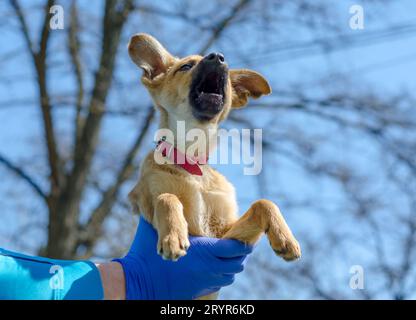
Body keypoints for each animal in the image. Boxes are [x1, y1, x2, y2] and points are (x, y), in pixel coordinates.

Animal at [127, 33, 300, 298]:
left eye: (226, 75)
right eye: (185, 66)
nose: (218, 56)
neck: (192, 164)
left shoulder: (225, 237)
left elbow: (263, 203)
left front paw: (285, 238)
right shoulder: (149, 202)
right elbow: (167, 197)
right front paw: (173, 236)